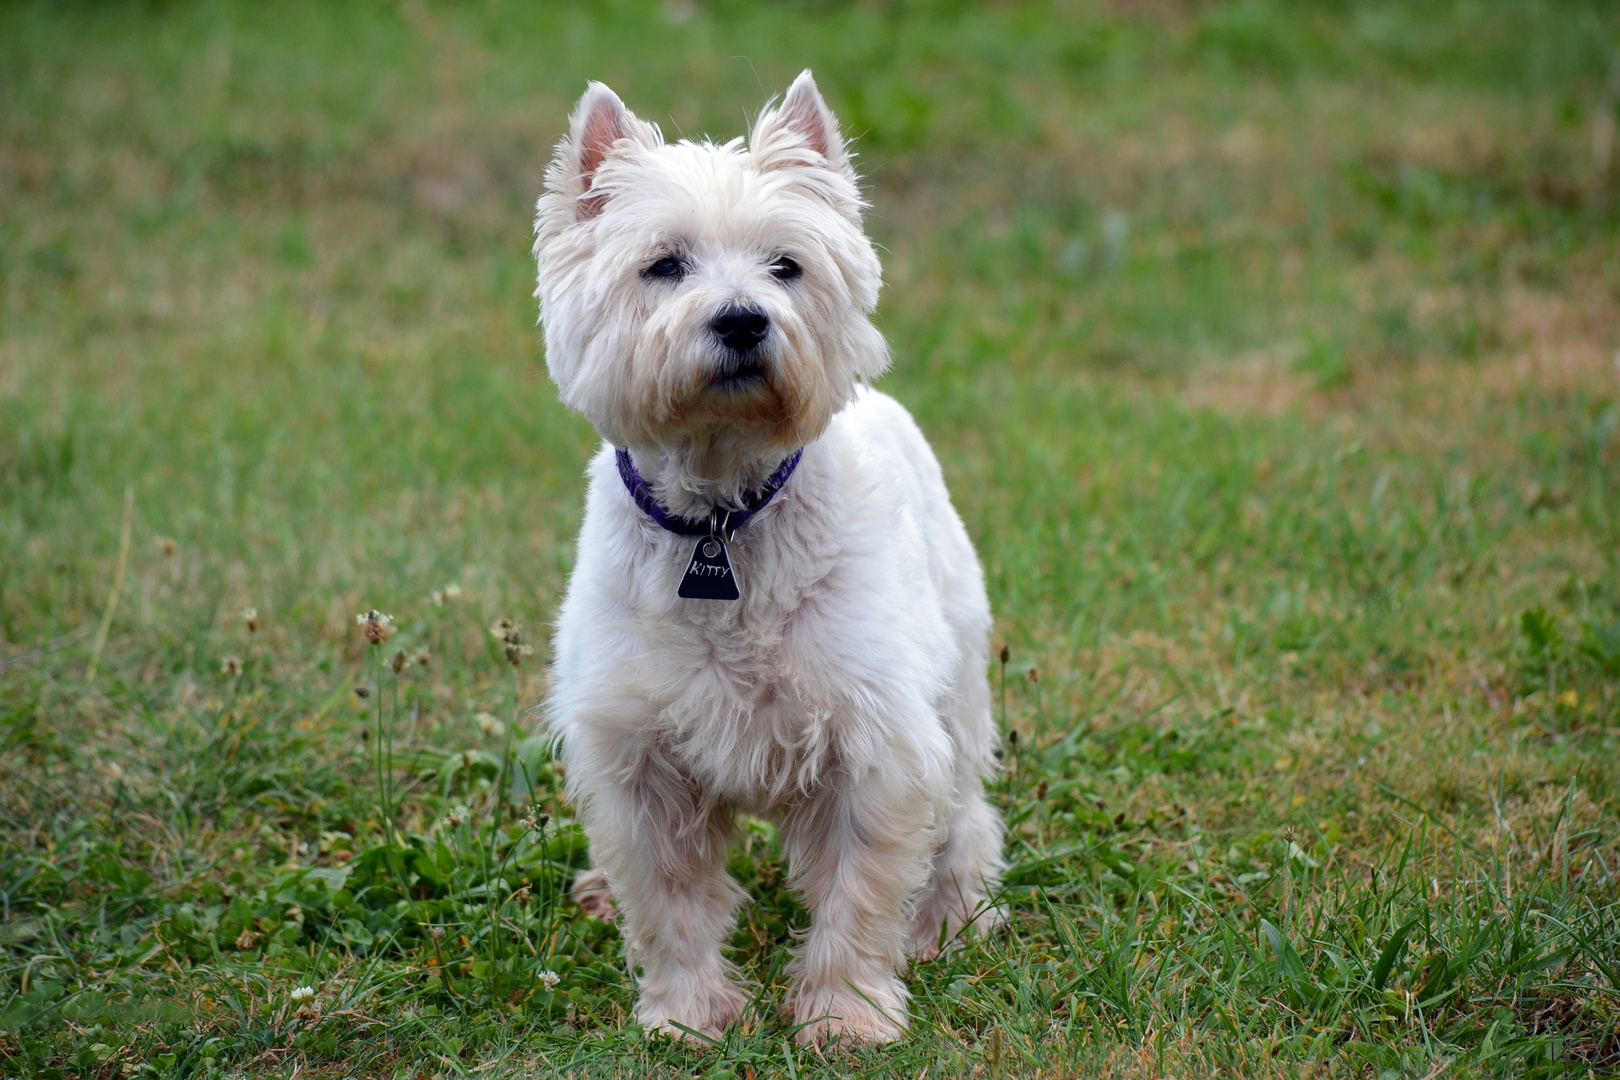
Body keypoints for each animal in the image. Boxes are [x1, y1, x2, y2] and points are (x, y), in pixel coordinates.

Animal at [531, 69, 1004, 1049]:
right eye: (664, 264)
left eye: (786, 266)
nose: (745, 320)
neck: (721, 517)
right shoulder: (636, 752)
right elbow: (669, 900)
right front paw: (687, 1017)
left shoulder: (874, 740)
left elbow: (858, 894)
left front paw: (845, 1015)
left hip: (959, 685)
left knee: (967, 817)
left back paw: (951, 918)